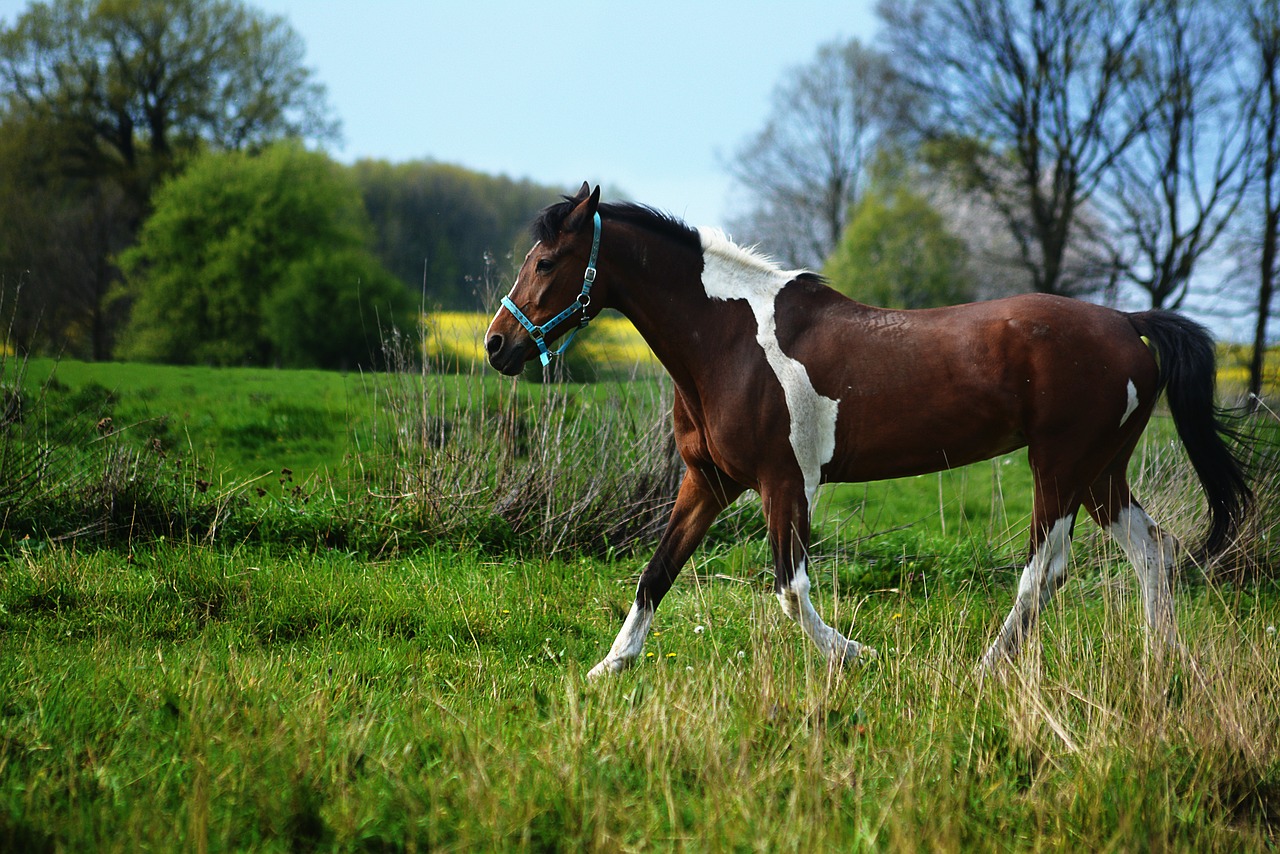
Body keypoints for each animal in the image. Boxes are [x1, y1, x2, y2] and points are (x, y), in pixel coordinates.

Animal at [484, 183, 1252, 678]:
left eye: (546, 262)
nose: (497, 345)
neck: (728, 341)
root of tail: (1127, 323)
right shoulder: (708, 484)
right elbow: (656, 572)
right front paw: (610, 667)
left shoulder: (785, 483)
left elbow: (790, 590)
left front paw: (856, 656)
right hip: (1100, 473)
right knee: (1154, 552)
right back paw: (1161, 662)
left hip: (1059, 468)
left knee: (1046, 572)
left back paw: (986, 668)